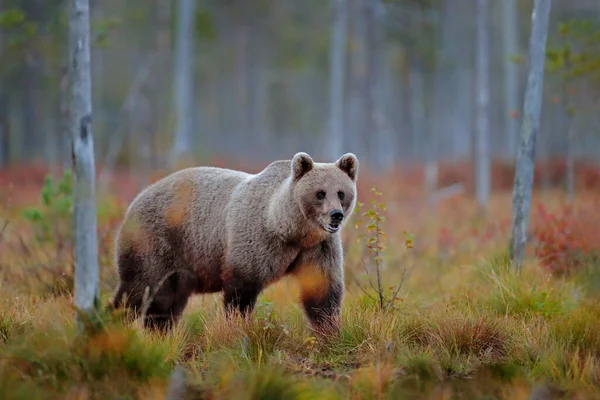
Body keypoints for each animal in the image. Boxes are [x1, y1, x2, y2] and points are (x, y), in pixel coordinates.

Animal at [110, 152, 358, 334]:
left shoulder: (317, 248)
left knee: (164, 304)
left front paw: (329, 329)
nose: (336, 215)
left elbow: (321, 289)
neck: (288, 229)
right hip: (156, 242)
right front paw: (236, 327)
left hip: (180, 268)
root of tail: (136, 199)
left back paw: (157, 333)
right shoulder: (254, 241)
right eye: (320, 193)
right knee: (137, 290)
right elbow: (241, 293)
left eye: (341, 193)